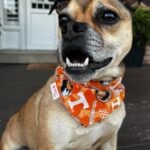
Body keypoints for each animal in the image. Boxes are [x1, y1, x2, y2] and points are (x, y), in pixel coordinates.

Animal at [0, 0, 148, 150]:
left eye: (109, 16)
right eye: (63, 19)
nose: (69, 29)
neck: (95, 89)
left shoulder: (109, 140)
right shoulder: (50, 145)